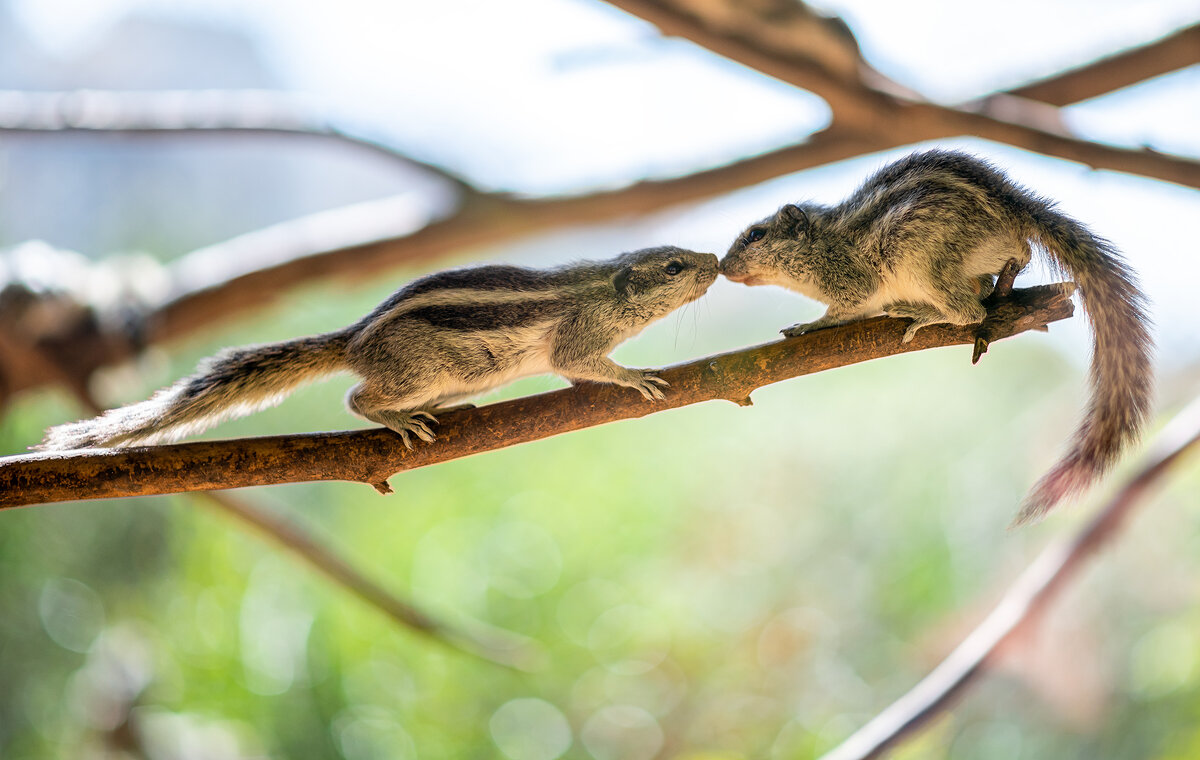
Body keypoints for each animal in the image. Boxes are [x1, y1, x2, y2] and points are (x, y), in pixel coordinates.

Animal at [37, 247, 715, 451]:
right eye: (675, 266)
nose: (711, 259)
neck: (605, 287)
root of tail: (354, 338)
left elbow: (579, 376)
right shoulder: (579, 334)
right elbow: (583, 363)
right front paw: (635, 377)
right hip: (419, 369)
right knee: (358, 398)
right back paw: (400, 418)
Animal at [720, 150, 1152, 523]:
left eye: (756, 234)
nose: (722, 266)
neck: (823, 241)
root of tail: (1018, 209)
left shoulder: (850, 280)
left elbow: (845, 309)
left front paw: (809, 324)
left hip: (921, 255)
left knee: (971, 311)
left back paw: (924, 312)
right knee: (999, 276)